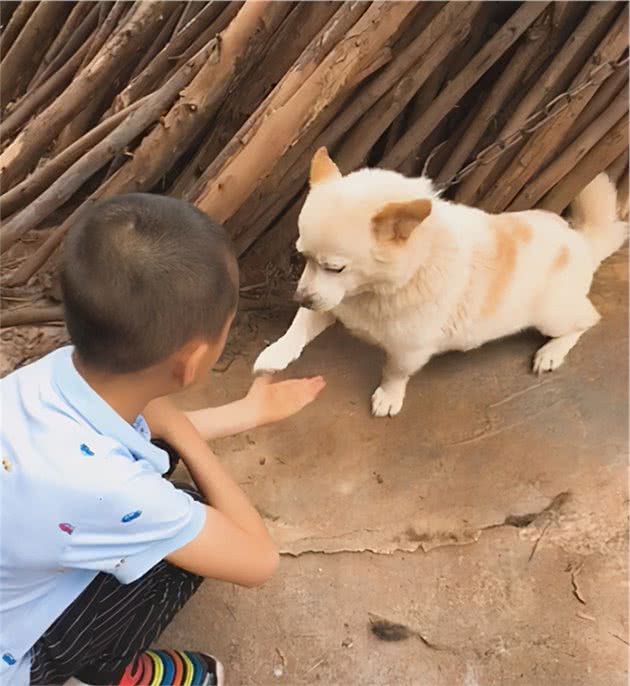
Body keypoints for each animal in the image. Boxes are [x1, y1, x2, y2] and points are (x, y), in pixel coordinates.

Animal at [254, 149, 628, 420]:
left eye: (336, 267)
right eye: (302, 256)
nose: (299, 297)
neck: (377, 290)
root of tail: (582, 241)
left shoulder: (409, 348)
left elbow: (394, 371)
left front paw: (389, 396)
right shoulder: (332, 301)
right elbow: (299, 327)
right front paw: (277, 352)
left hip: (551, 316)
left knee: (586, 320)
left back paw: (551, 352)